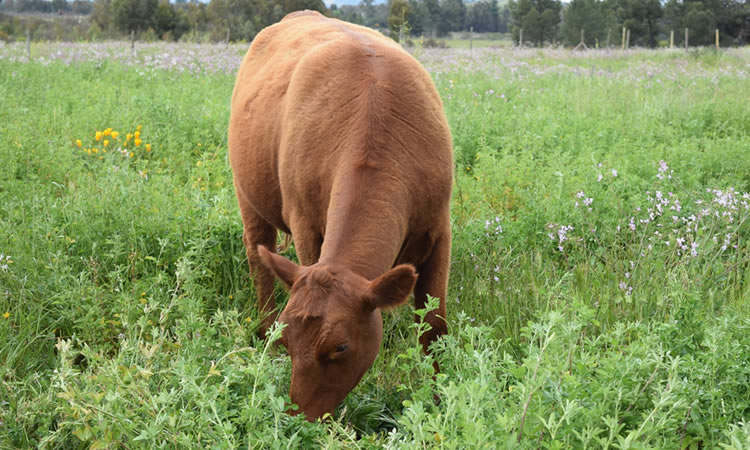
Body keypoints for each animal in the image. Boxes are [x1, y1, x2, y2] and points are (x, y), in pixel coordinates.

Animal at [229, 11, 452, 422]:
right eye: (287, 340)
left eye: (341, 347)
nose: (298, 417)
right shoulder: (305, 226)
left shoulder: (439, 228)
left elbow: (433, 327)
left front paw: (439, 398)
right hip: (247, 194)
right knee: (258, 255)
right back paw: (262, 329)